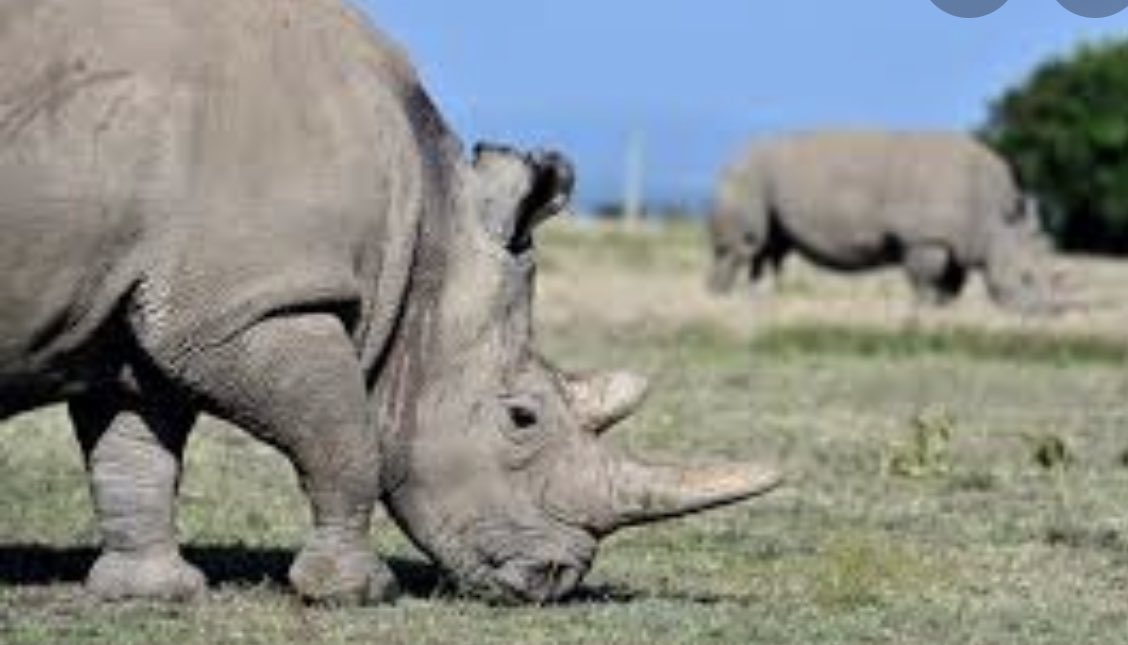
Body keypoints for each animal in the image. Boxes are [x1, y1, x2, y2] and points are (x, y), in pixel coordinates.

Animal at [0, 0, 782, 604]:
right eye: (521, 418)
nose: (554, 579)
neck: (425, 231)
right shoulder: (248, 306)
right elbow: (347, 437)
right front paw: (356, 591)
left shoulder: (154, 308)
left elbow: (137, 451)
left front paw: (154, 593)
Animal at [706, 131, 1055, 312]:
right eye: (1026, 278)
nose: (1047, 314)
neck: (996, 220)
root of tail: (731, 157)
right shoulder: (925, 240)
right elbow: (925, 280)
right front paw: (922, 310)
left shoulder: (956, 243)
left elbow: (951, 284)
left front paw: (943, 312)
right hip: (747, 178)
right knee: (744, 247)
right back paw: (721, 300)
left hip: (760, 180)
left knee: (773, 248)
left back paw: (766, 298)